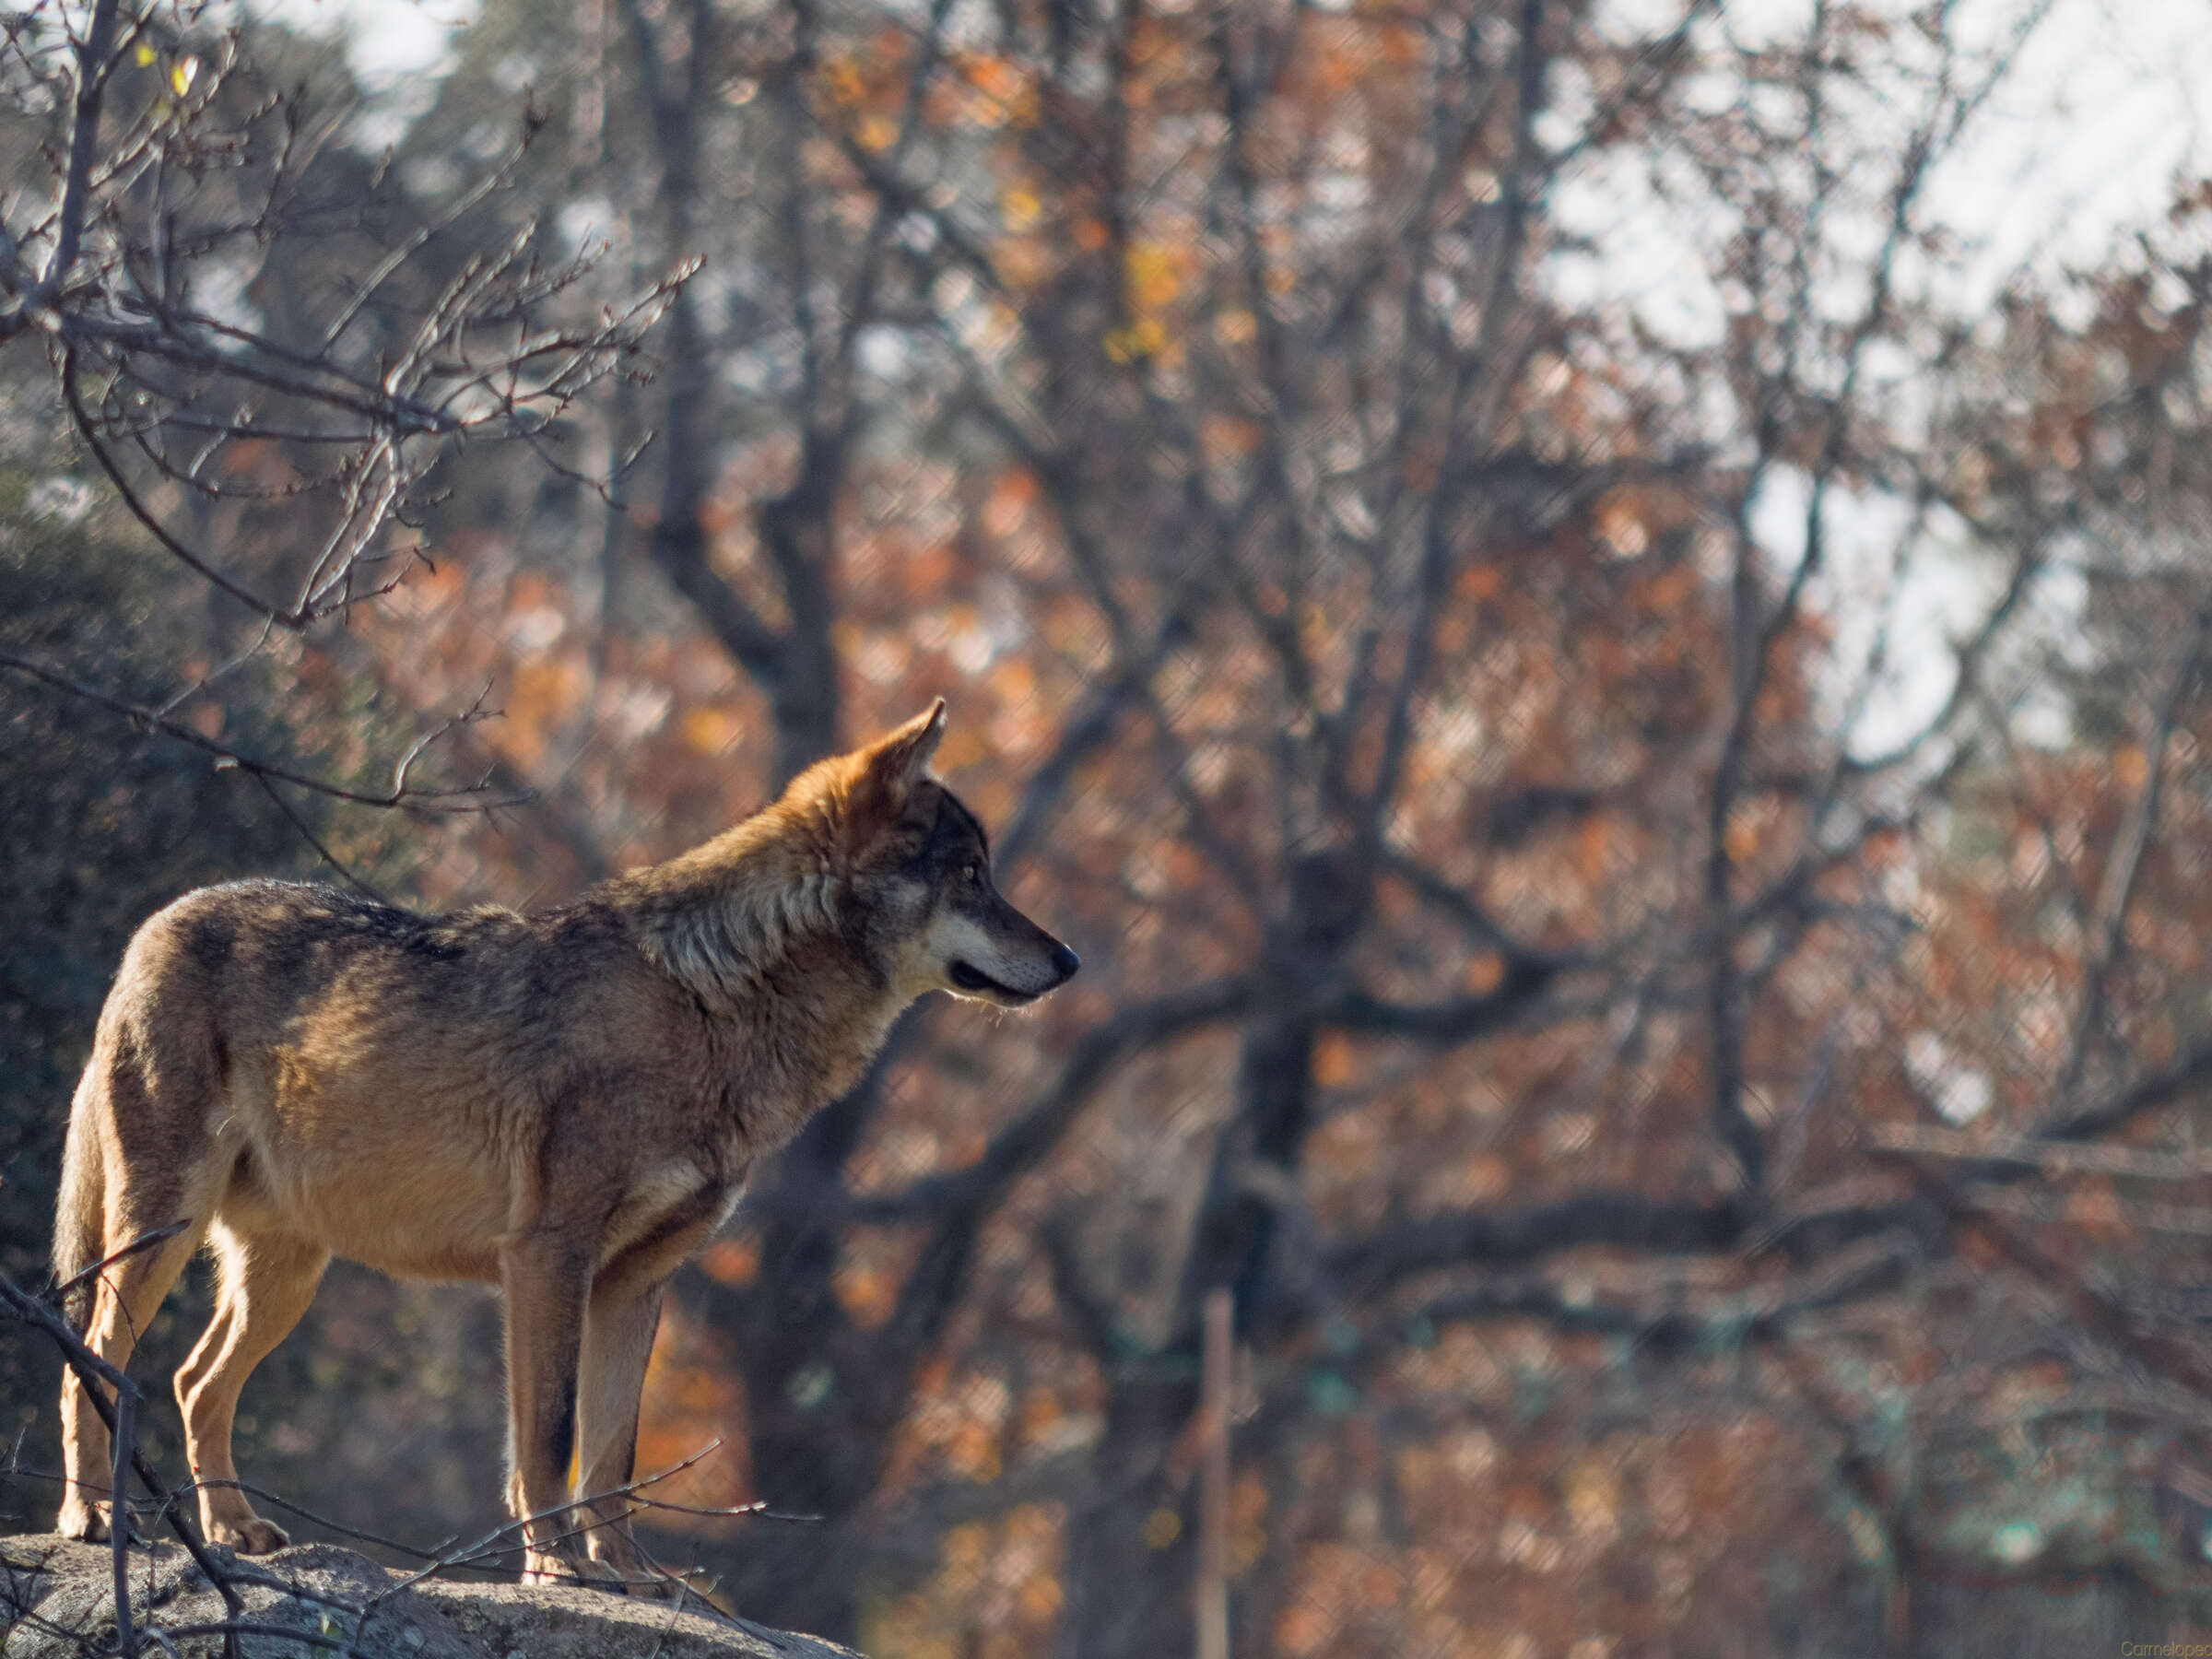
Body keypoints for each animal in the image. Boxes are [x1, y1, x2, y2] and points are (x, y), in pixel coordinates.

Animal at [50, 703, 1079, 1583]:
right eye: (971, 877)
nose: (1070, 960)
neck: (708, 1004)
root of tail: (153, 925)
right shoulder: (548, 1256)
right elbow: (549, 1437)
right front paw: (554, 1568)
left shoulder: (640, 1280)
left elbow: (615, 1453)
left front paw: (628, 1575)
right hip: (162, 1233)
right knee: (94, 1349)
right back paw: (94, 1520)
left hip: (288, 1274)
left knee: (193, 1380)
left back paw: (232, 1531)